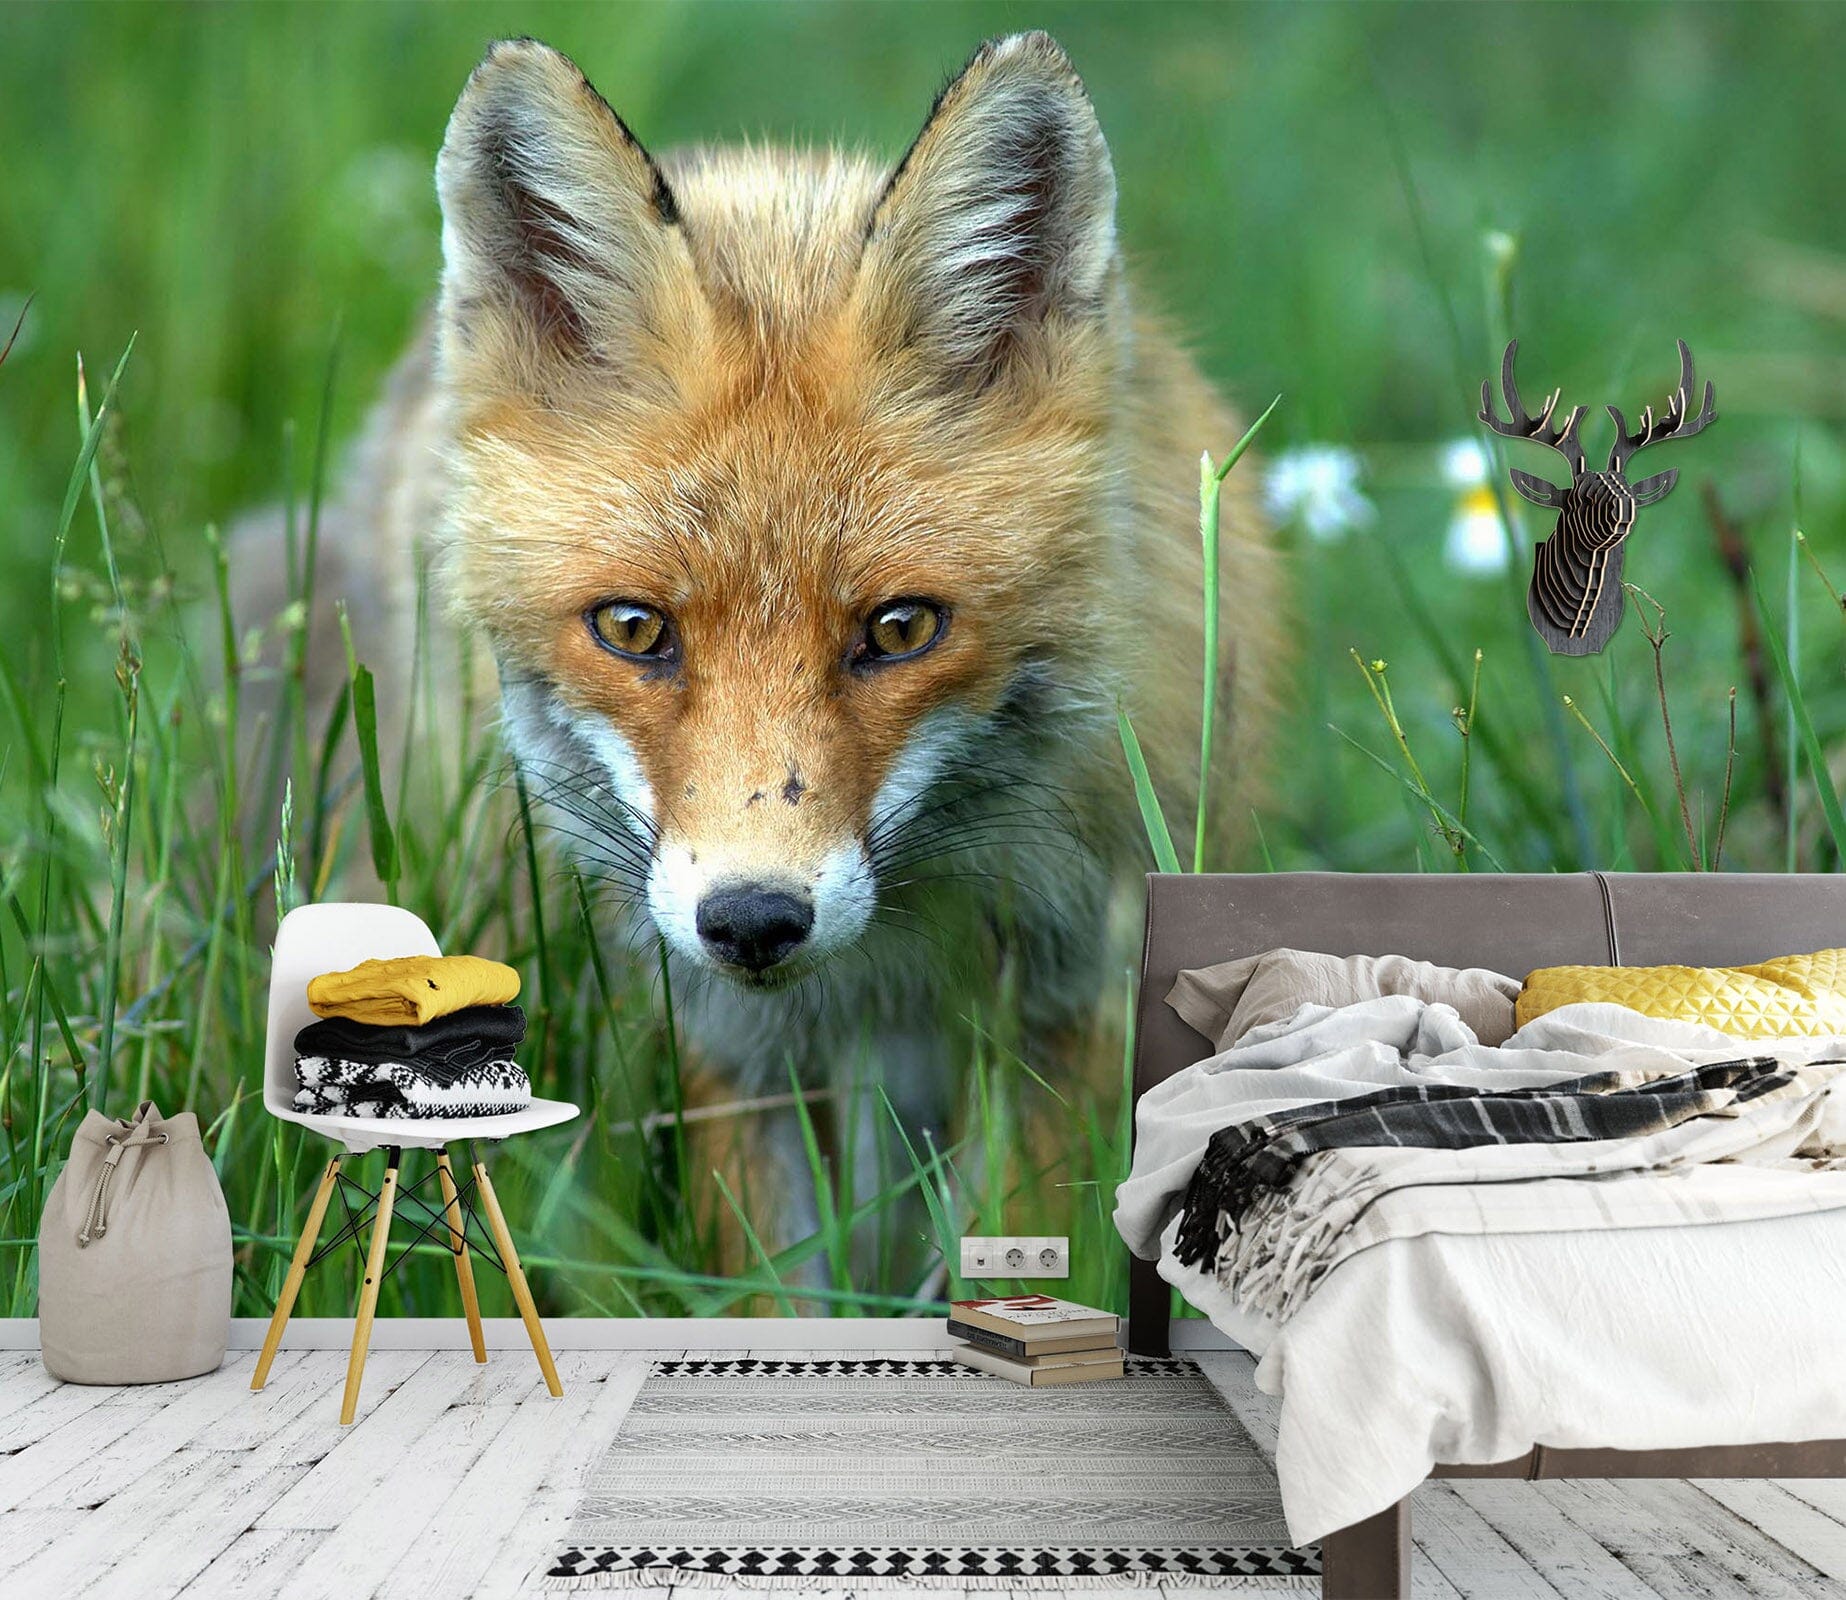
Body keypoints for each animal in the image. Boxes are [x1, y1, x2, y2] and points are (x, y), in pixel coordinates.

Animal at [246, 31, 1281, 1235]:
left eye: (900, 628)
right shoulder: (719, 1040)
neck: (883, 974)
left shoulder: (1062, 1004)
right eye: (634, 627)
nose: (750, 920)